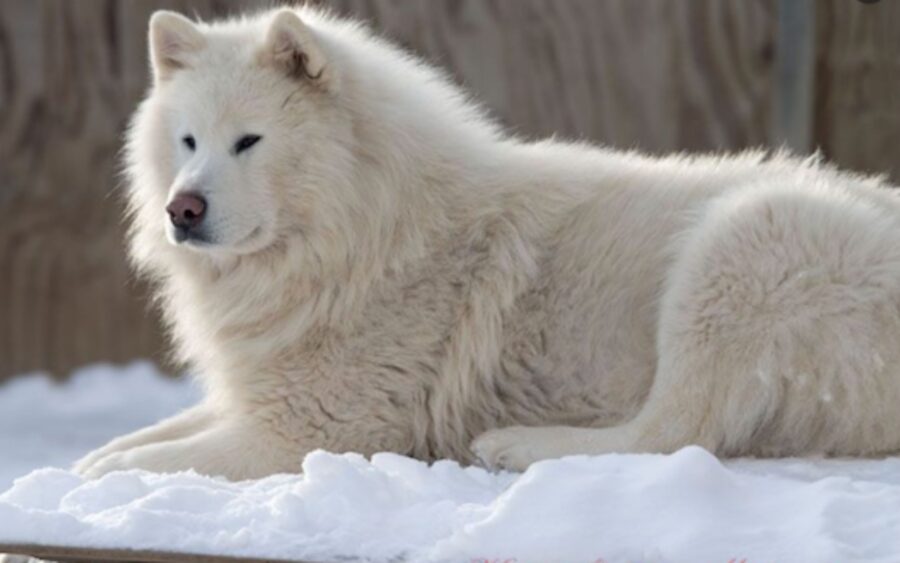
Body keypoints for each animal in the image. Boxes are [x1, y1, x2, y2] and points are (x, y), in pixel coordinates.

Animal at [74, 5, 900, 480]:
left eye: (248, 141)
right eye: (187, 141)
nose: (182, 210)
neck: (361, 235)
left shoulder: (310, 429)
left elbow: (158, 459)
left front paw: (105, 476)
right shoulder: (257, 396)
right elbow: (147, 434)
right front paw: (96, 452)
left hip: (743, 240)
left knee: (671, 431)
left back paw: (517, 445)